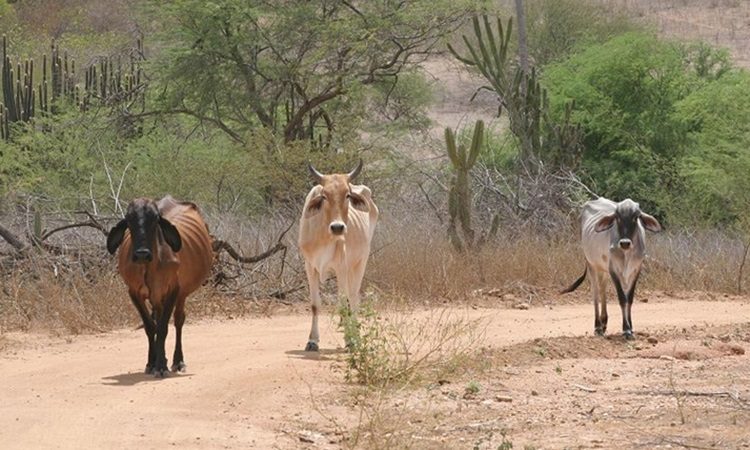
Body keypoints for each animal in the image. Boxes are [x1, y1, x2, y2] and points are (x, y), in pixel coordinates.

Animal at [106, 197, 213, 376]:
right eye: (129, 219)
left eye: (155, 219)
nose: (141, 254)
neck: (148, 266)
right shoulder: (134, 292)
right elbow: (150, 327)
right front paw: (152, 363)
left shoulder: (173, 290)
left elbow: (163, 327)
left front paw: (161, 366)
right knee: (157, 317)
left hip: (181, 294)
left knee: (178, 320)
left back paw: (178, 361)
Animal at [564, 199, 664, 340]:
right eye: (617, 217)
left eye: (636, 217)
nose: (625, 243)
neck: (626, 253)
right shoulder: (614, 270)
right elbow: (622, 298)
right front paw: (626, 329)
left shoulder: (635, 270)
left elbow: (629, 299)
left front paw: (630, 328)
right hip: (592, 265)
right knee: (596, 293)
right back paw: (598, 326)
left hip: (604, 269)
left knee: (603, 289)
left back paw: (604, 322)